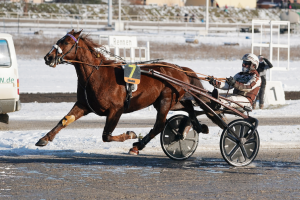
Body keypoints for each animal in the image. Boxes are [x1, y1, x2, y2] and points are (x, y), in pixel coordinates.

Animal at [37, 29, 225, 155]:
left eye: (66, 42)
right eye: (60, 40)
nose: (48, 57)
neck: (97, 75)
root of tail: (179, 68)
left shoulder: (116, 110)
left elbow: (106, 136)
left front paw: (130, 134)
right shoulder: (84, 105)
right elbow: (64, 120)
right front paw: (44, 138)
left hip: (166, 99)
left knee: (159, 125)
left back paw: (138, 145)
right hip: (174, 100)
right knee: (191, 109)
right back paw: (198, 126)